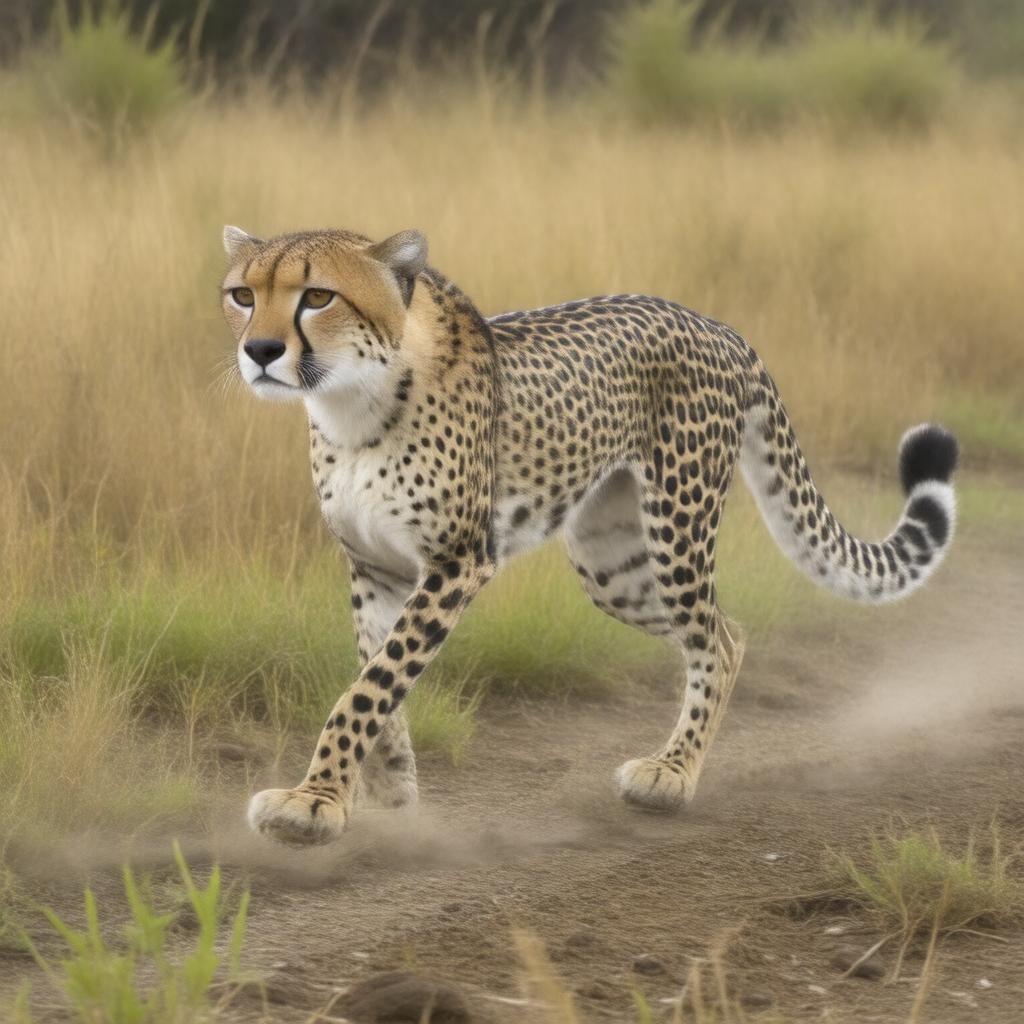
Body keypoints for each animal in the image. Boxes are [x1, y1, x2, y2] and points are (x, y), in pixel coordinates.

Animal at [219, 224, 958, 846]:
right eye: (242, 295)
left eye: (318, 296)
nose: (260, 351)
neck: (352, 405)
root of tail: (714, 322)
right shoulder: (376, 567)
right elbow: (376, 676)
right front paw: (386, 793)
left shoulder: (459, 560)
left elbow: (368, 688)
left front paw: (314, 800)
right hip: (614, 569)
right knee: (731, 629)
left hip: (677, 529)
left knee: (715, 639)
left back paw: (673, 773)